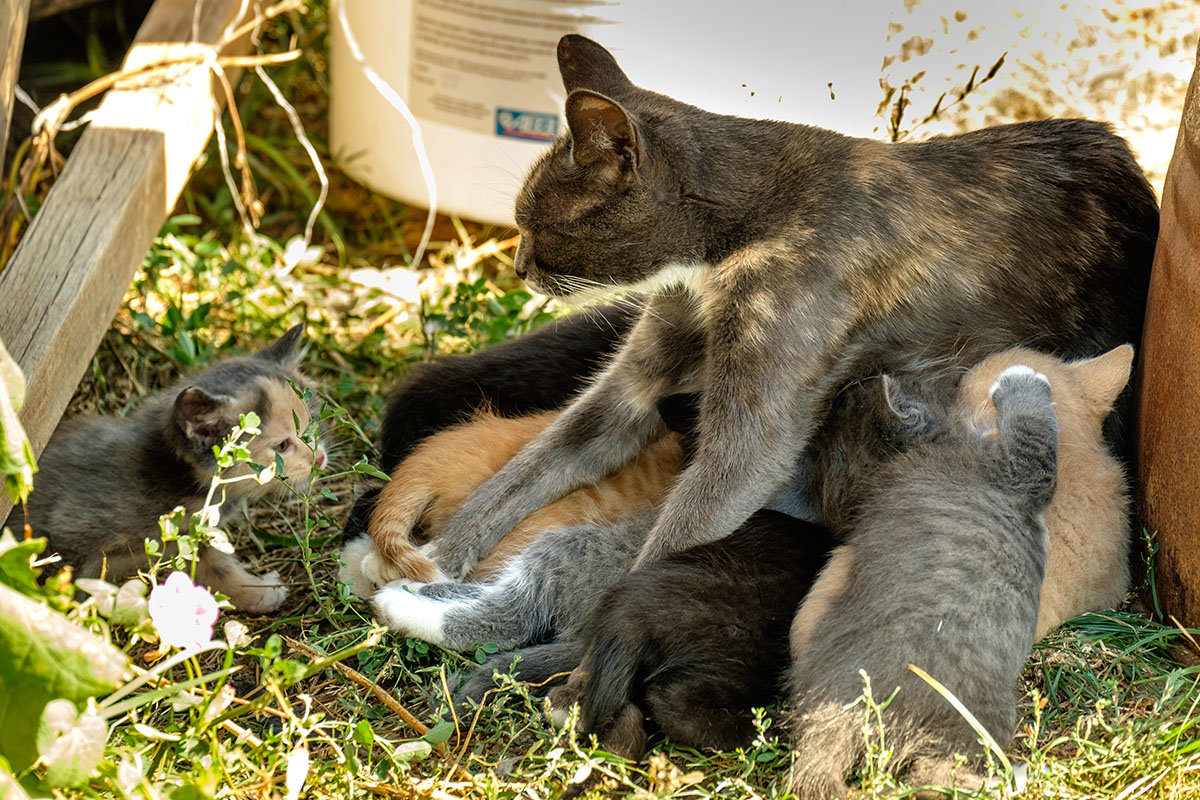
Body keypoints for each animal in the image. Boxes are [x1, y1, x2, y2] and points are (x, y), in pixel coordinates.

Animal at [4, 326, 326, 614]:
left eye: (311, 425)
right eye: (282, 446)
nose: (320, 458)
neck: (179, 479)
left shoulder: (186, 538)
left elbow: (214, 567)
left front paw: (256, 593)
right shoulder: (64, 532)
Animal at [420, 32, 1152, 582]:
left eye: (536, 226)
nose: (517, 265)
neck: (729, 241)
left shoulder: (753, 439)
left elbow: (670, 541)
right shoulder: (631, 390)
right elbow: (525, 471)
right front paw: (433, 562)